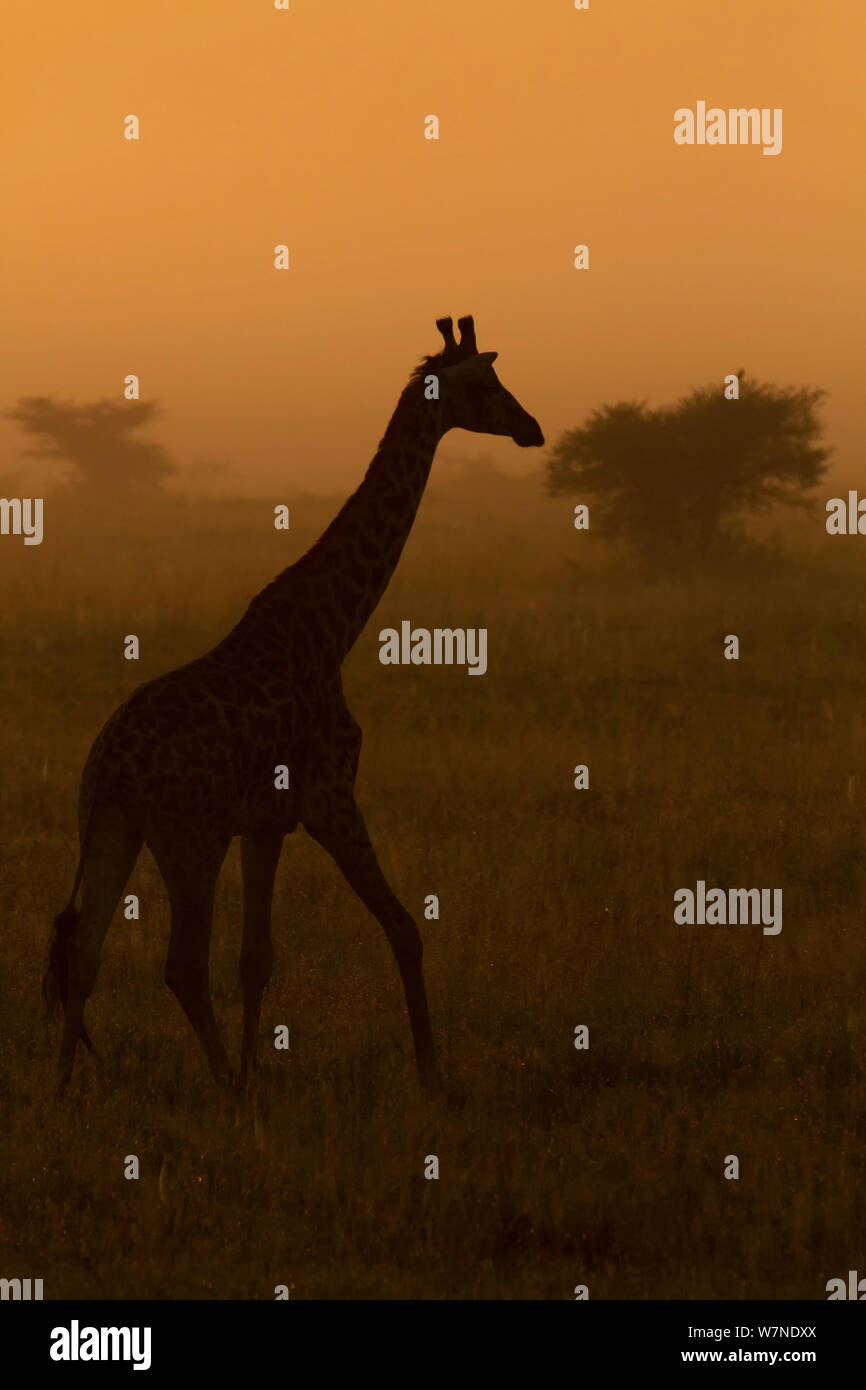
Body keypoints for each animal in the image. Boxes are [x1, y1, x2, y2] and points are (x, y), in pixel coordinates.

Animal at [42, 319, 542, 1089]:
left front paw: (260, 1069)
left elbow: (258, 958)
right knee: (179, 965)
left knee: (85, 951)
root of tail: (112, 764)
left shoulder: (265, 824)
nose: (533, 429)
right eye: (487, 383)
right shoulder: (329, 797)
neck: (331, 629)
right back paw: (223, 1087)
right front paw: (431, 1075)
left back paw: (67, 1090)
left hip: (112, 827)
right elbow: (405, 927)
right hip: (189, 839)